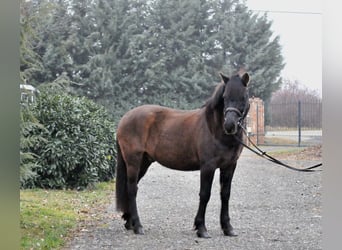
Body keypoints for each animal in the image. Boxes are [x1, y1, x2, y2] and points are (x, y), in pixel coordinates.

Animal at [116, 71, 250, 237]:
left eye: (243, 97)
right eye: (225, 97)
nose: (230, 125)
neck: (214, 128)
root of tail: (125, 118)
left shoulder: (229, 166)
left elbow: (225, 194)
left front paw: (228, 228)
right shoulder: (208, 167)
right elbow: (205, 194)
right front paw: (201, 228)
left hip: (144, 162)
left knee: (131, 188)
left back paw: (130, 222)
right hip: (133, 161)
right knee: (132, 189)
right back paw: (138, 226)